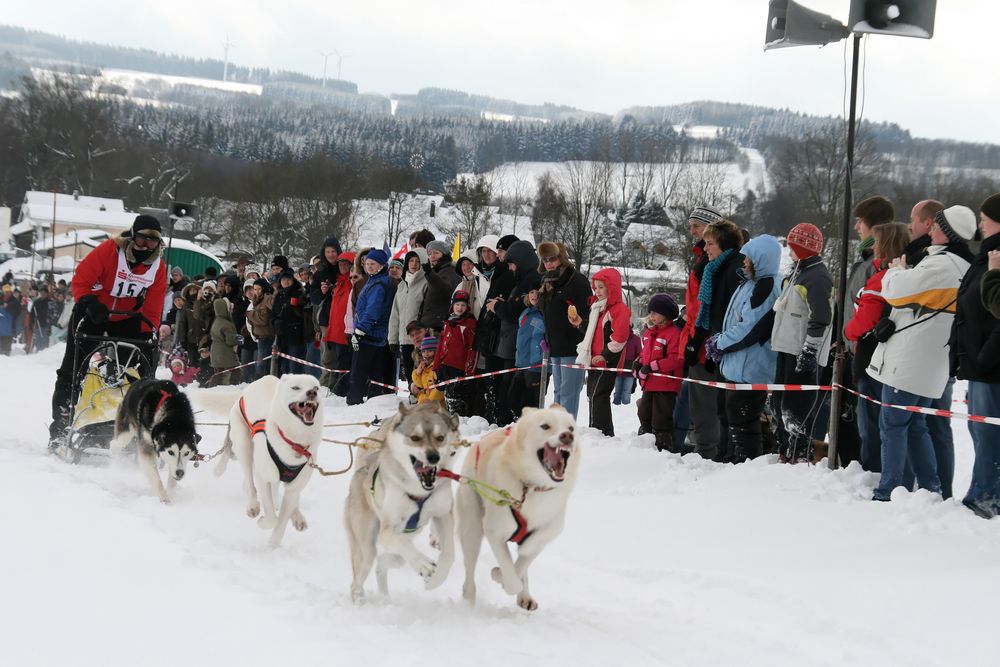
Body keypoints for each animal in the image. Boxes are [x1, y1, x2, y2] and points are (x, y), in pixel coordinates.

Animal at [216, 376, 322, 548]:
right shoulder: (263, 477)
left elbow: (283, 519)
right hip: (243, 444)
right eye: (295, 387)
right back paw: (253, 505)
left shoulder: (293, 488)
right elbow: (272, 517)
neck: (295, 443)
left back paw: (297, 516)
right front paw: (264, 524)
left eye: (316, 387)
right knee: (249, 480)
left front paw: (274, 543)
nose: (312, 392)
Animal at [346, 402, 462, 604]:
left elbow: (449, 554)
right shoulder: (388, 530)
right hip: (366, 549)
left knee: (385, 563)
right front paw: (423, 564)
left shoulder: (442, 514)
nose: (434, 457)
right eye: (415, 438)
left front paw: (436, 579)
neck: (419, 491)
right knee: (358, 579)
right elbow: (401, 543)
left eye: (441, 438)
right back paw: (359, 601)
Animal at [458, 404, 584, 612]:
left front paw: (508, 576)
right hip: (471, 528)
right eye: (545, 426)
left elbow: (526, 555)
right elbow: (511, 578)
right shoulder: (495, 533)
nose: (567, 436)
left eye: (571, 428)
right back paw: (468, 599)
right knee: (469, 568)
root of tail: (479, 442)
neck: (533, 487)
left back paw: (525, 596)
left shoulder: (548, 530)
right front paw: (499, 575)